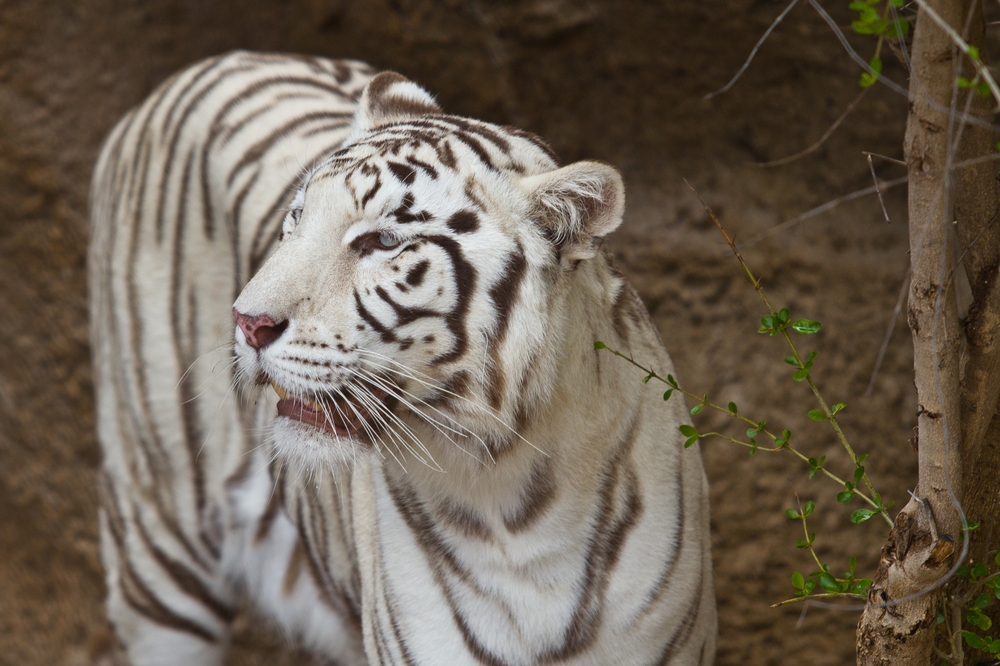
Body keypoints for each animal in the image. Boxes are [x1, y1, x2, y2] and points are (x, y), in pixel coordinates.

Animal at [84, 52, 712, 664]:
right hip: (160, 548)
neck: (511, 495)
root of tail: (201, 67)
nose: (247, 321)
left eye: (382, 243)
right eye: (296, 219)